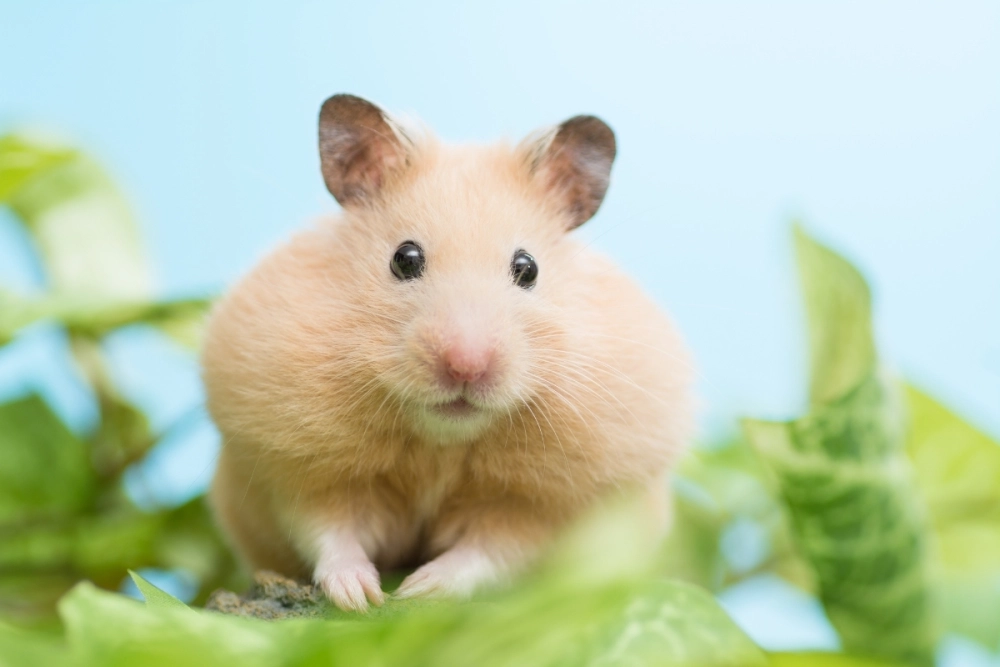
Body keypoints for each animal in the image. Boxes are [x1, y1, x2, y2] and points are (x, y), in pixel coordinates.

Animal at [202, 94, 695, 612]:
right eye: (405, 258)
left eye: (528, 268)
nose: (466, 367)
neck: (442, 442)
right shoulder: (299, 471)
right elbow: (328, 531)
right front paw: (361, 596)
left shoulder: (537, 508)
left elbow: (491, 550)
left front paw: (421, 590)